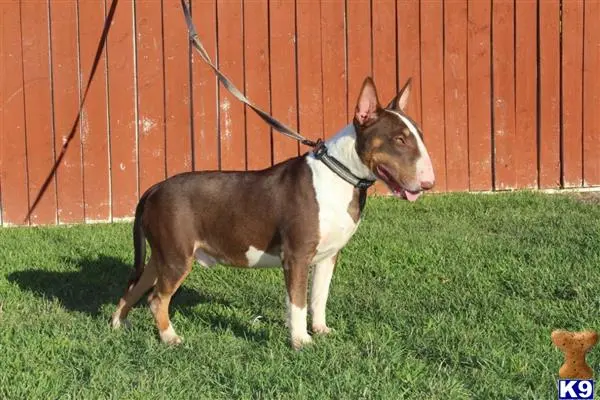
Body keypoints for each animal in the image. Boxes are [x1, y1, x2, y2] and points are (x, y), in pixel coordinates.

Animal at [111, 76, 432, 348]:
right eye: (399, 139)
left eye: (419, 135)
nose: (429, 182)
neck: (340, 176)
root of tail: (153, 189)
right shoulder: (297, 256)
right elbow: (298, 302)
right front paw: (301, 342)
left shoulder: (328, 256)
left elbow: (319, 297)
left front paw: (321, 330)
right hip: (177, 258)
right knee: (156, 299)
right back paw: (170, 337)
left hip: (161, 257)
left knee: (134, 287)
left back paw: (118, 325)